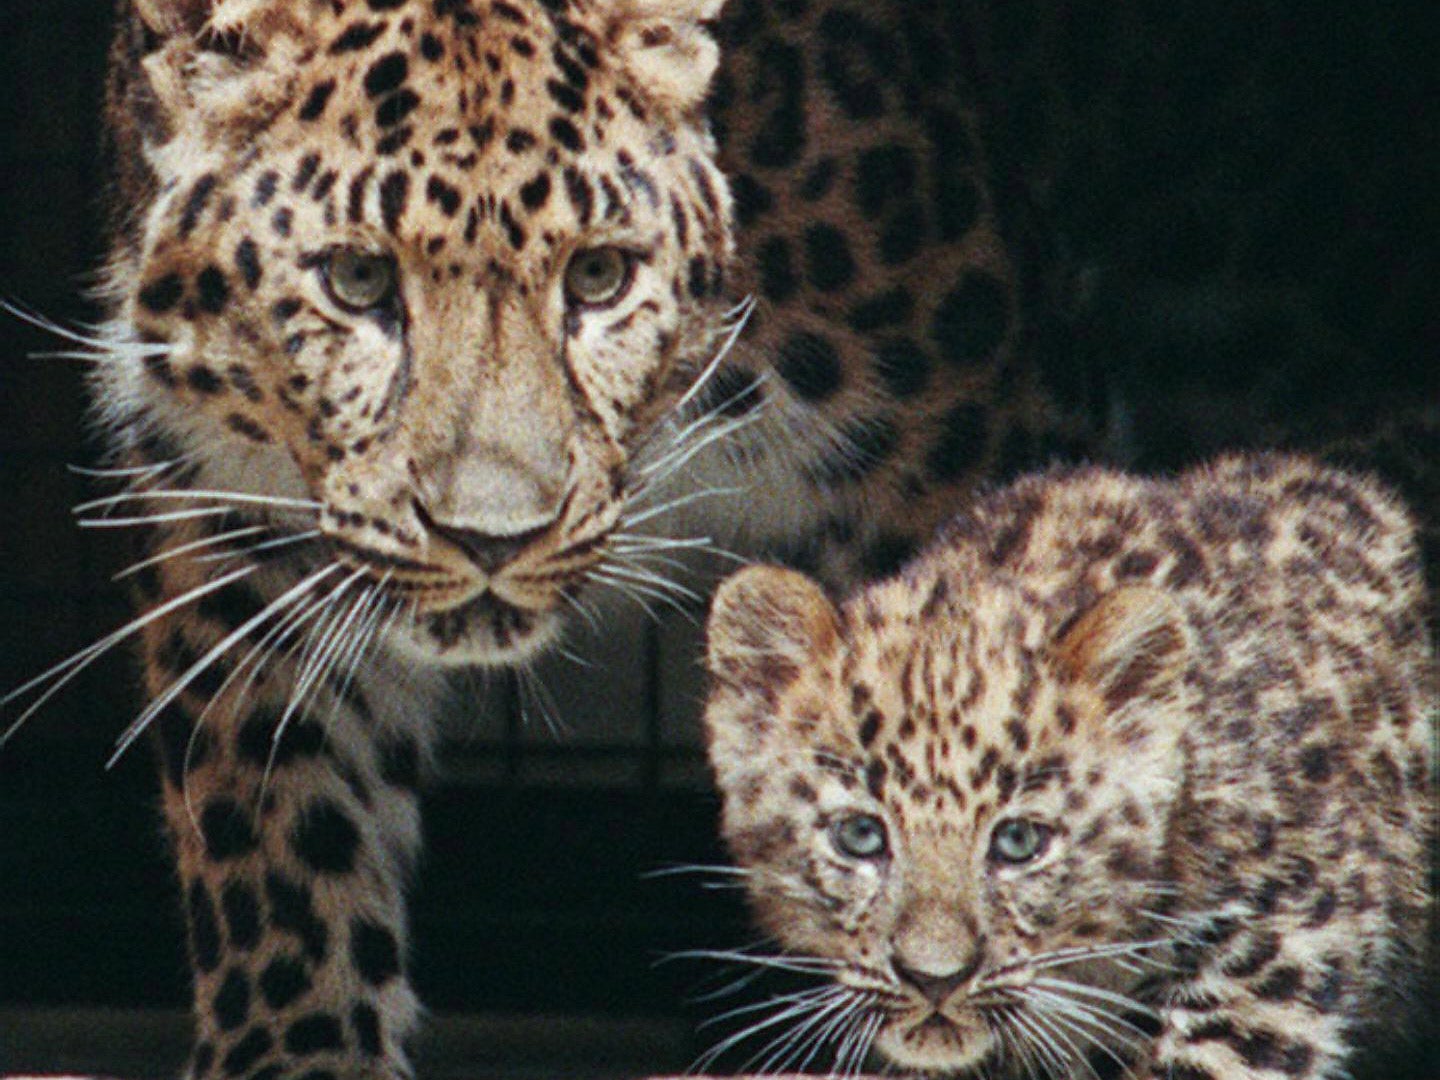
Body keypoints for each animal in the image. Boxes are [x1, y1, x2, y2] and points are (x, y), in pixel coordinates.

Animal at [17, 0, 1068, 1076]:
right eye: (355, 279)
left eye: (599, 276)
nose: (494, 539)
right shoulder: (228, 504)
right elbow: (279, 833)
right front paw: (300, 1048)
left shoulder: (939, 457)